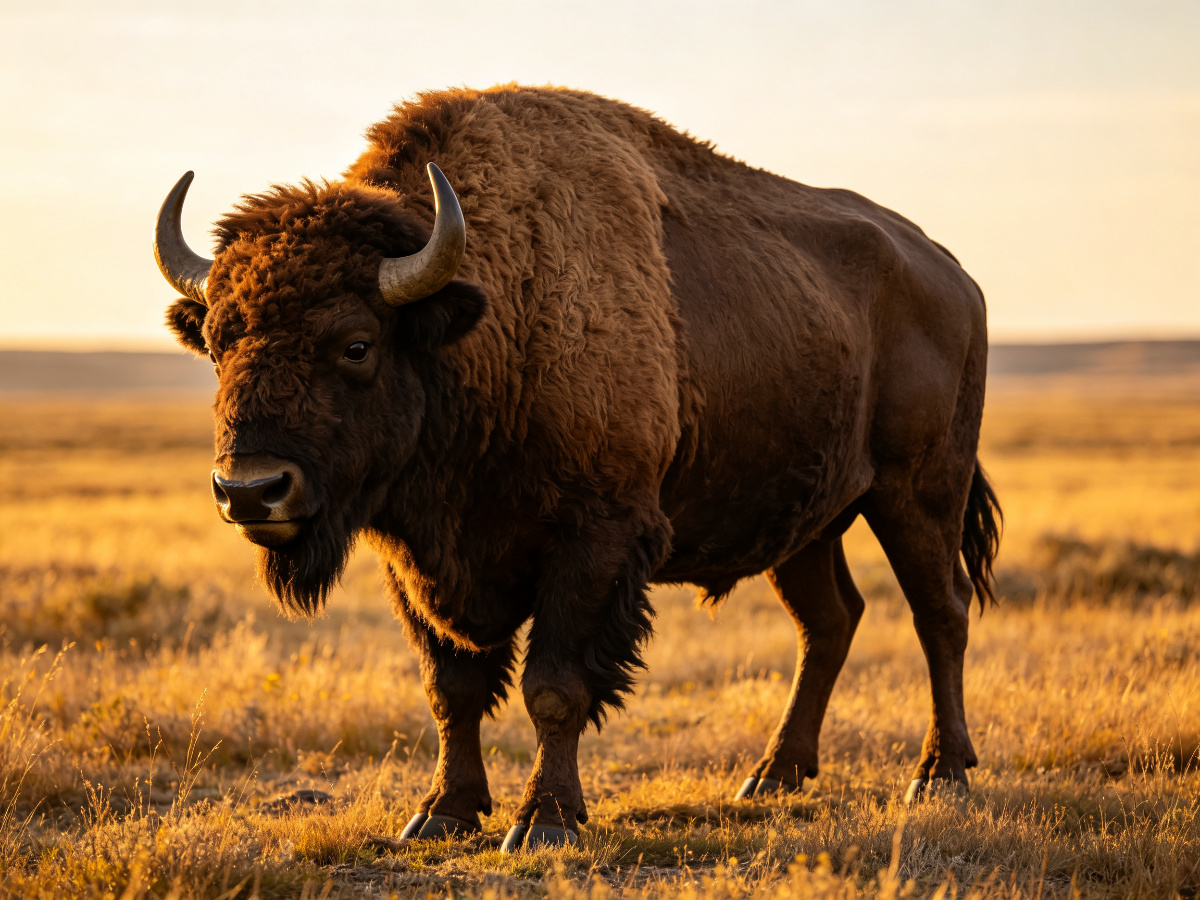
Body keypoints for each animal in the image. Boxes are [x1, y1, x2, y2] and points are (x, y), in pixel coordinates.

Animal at [155, 85, 1000, 851]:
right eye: (219, 343)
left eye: (355, 344)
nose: (250, 491)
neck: (496, 314)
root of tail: (955, 274)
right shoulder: (418, 562)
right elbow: (452, 689)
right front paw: (441, 815)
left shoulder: (596, 542)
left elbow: (554, 688)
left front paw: (545, 822)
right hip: (805, 526)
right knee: (829, 621)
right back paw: (772, 776)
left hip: (918, 494)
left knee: (941, 612)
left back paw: (938, 775)